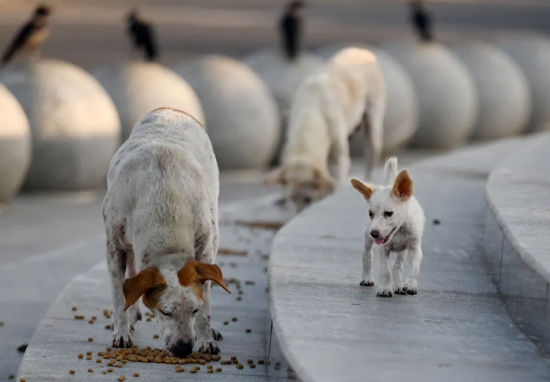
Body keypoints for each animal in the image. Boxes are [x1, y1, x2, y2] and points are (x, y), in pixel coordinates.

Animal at [102, 106, 230, 356]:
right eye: (165, 311)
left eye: (194, 310)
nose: (183, 348)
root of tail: (171, 109)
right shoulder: (114, 248)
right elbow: (117, 296)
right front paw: (121, 332)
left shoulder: (204, 249)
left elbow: (207, 298)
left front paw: (205, 337)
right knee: (131, 276)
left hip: (216, 233)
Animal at [266, 47, 386, 212]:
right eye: (292, 199)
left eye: (308, 199)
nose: (300, 214)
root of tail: (362, 50)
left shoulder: (338, 159)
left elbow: (335, 182)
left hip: (373, 121)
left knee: (371, 156)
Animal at [352, 157, 424, 296]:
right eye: (371, 213)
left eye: (389, 213)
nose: (374, 233)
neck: (398, 232)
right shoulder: (383, 249)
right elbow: (385, 271)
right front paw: (385, 288)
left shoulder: (415, 248)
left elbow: (414, 268)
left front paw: (410, 285)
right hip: (367, 239)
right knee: (367, 254)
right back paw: (367, 277)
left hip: (403, 250)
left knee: (397, 266)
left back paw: (399, 286)